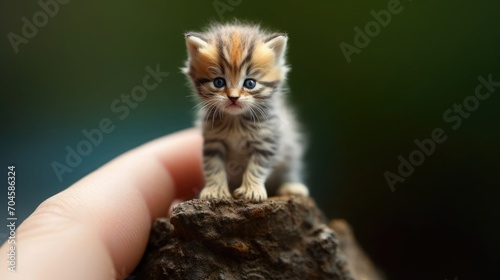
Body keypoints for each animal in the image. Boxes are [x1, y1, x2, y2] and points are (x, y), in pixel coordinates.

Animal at [184, 22, 308, 201]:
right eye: (219, 82)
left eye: (250, 83)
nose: (233, 97)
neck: (235, 120)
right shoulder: (213, 141)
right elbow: (213, 166)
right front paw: (215, 190)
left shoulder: (268, 140)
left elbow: (257, 167)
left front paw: (252, 190)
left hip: (290, 150)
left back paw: (291, 186)